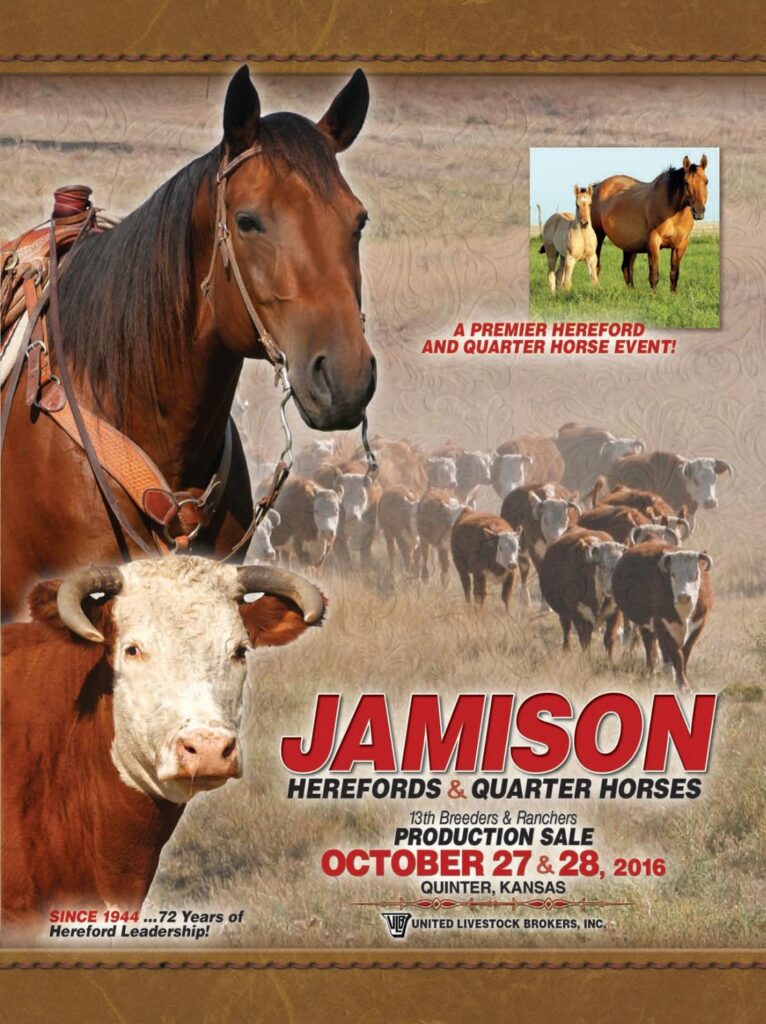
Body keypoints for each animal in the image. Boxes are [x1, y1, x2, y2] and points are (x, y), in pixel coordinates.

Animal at [590, 155, 708, 291]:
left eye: (706, 181)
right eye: (686, 182)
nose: (698, 211)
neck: (673, 211)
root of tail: (598, 186)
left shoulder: (681, 245)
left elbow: (674, 274)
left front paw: (673, 294)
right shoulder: (653, 242)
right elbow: (654, 274)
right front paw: (653, 295)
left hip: (630, 244)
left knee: (627, 268)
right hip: (598, 234)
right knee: (596, 265)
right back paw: (596, 289)